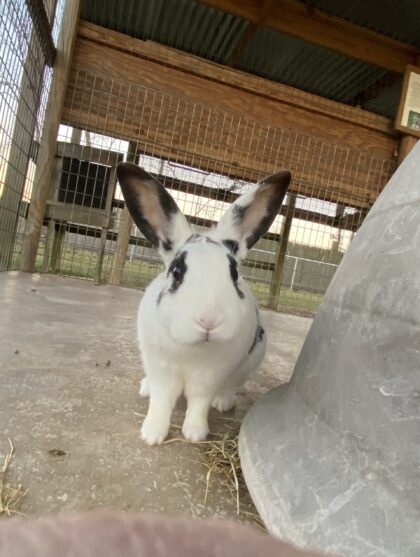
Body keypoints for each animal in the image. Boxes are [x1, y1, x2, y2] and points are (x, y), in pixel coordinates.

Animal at [116, 163, 290, 446]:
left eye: (234, 273)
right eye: (177, 272)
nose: (209, 321)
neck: (194, 348)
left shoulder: (209, 377)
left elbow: (199, 403)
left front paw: (195, 433)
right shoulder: (161, 369)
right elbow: (161, 401)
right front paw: (151, 434)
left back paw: (224, 401)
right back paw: (145, 388)